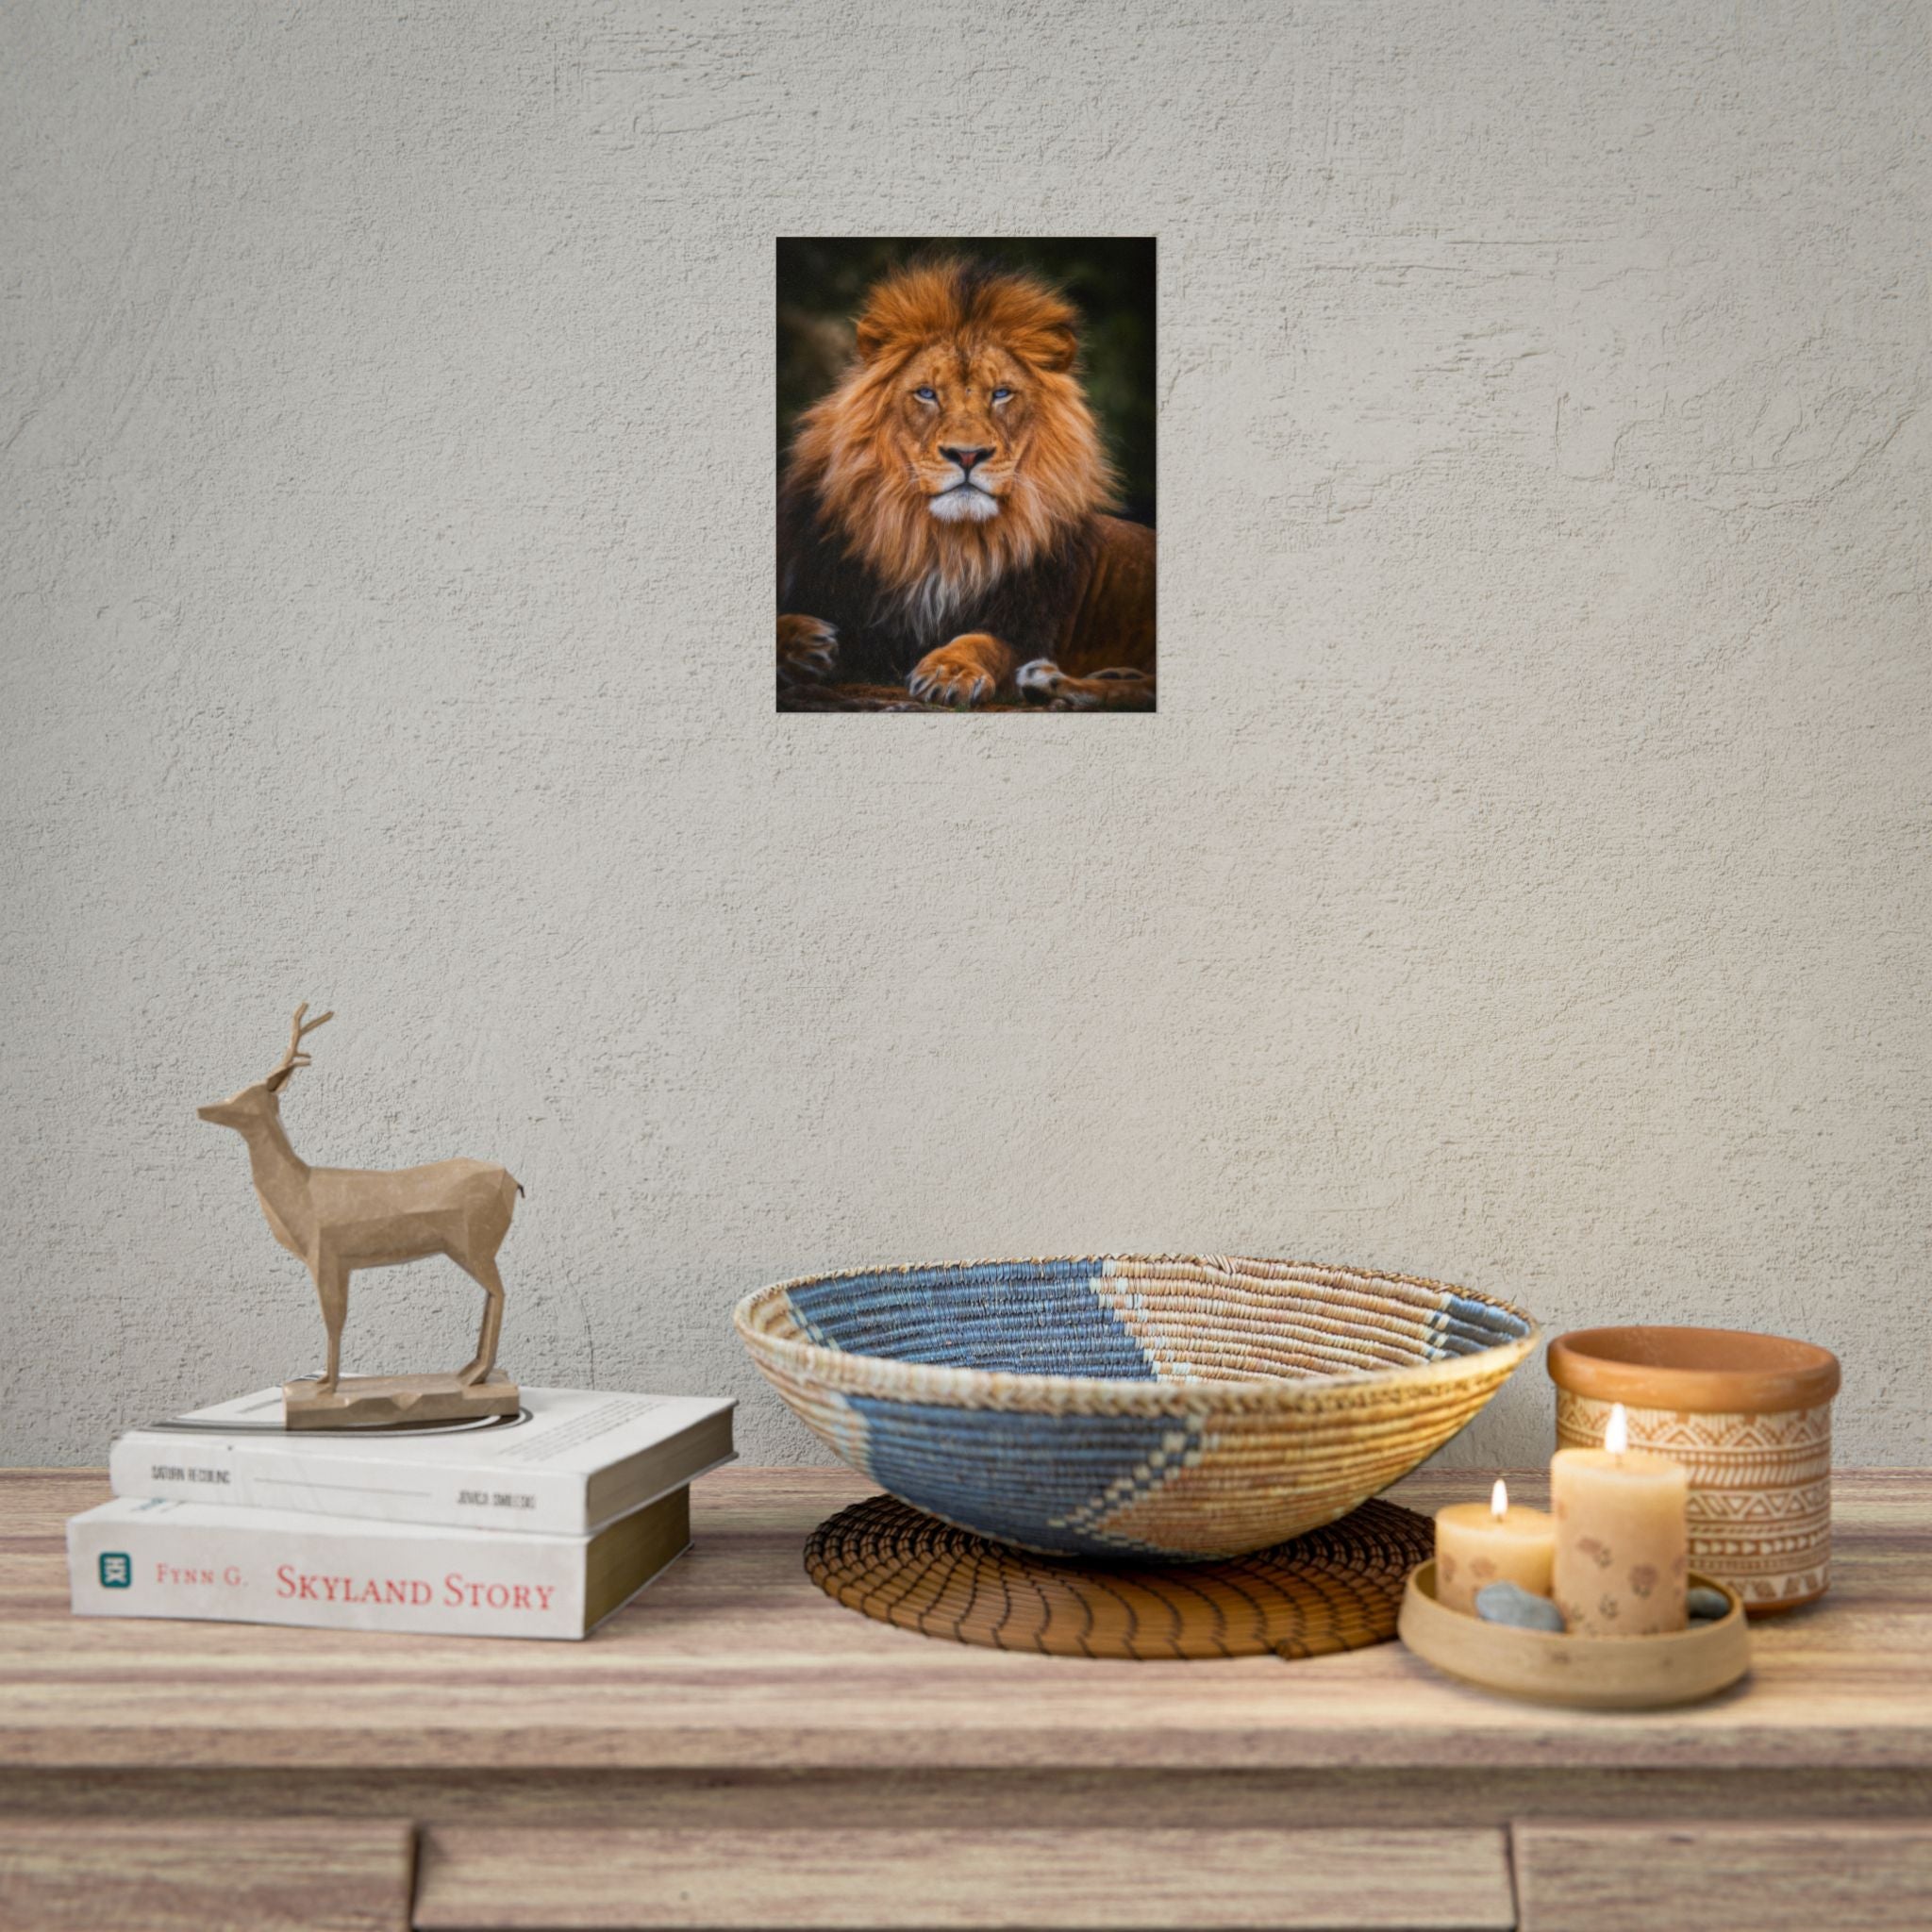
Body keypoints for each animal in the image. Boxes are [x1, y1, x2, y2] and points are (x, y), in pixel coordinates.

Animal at [777, 259, 1154, 711]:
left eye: (1002, 393)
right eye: (926, 393)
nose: (968, 455)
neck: (943, 543)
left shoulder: (1026, 626)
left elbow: (981, 642)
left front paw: (950, 671)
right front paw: (803, 642)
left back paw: (1051, 682)